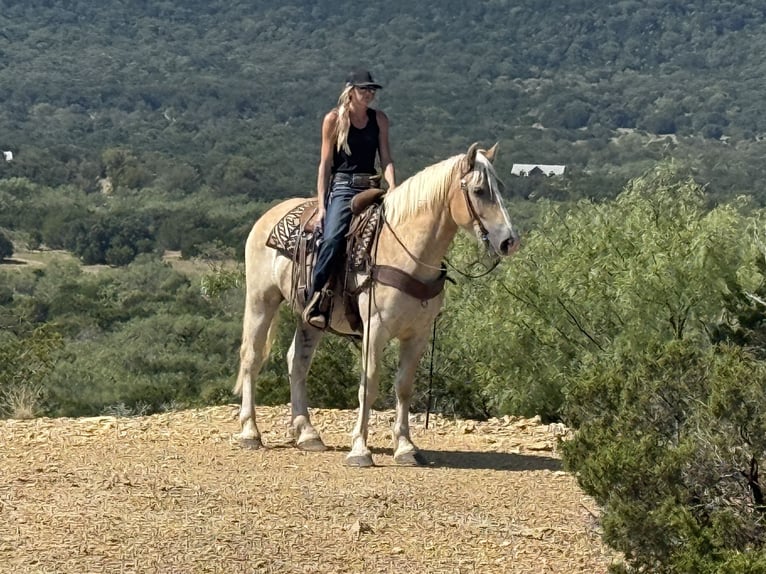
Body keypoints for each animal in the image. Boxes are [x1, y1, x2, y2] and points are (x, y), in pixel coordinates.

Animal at [235, 142, 519, 467]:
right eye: (479, 190)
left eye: (500, 186)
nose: (509, 241)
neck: (405, 251)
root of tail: (268, 216)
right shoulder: (376, 330)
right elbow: (368, 385)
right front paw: (360, 449)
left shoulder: (418, 335)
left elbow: (404, 387)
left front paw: (406, 447)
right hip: (261, 300)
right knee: (251, 357)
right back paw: (250, 432)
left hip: (310, 319)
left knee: (297, 362)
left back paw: (307, 434)